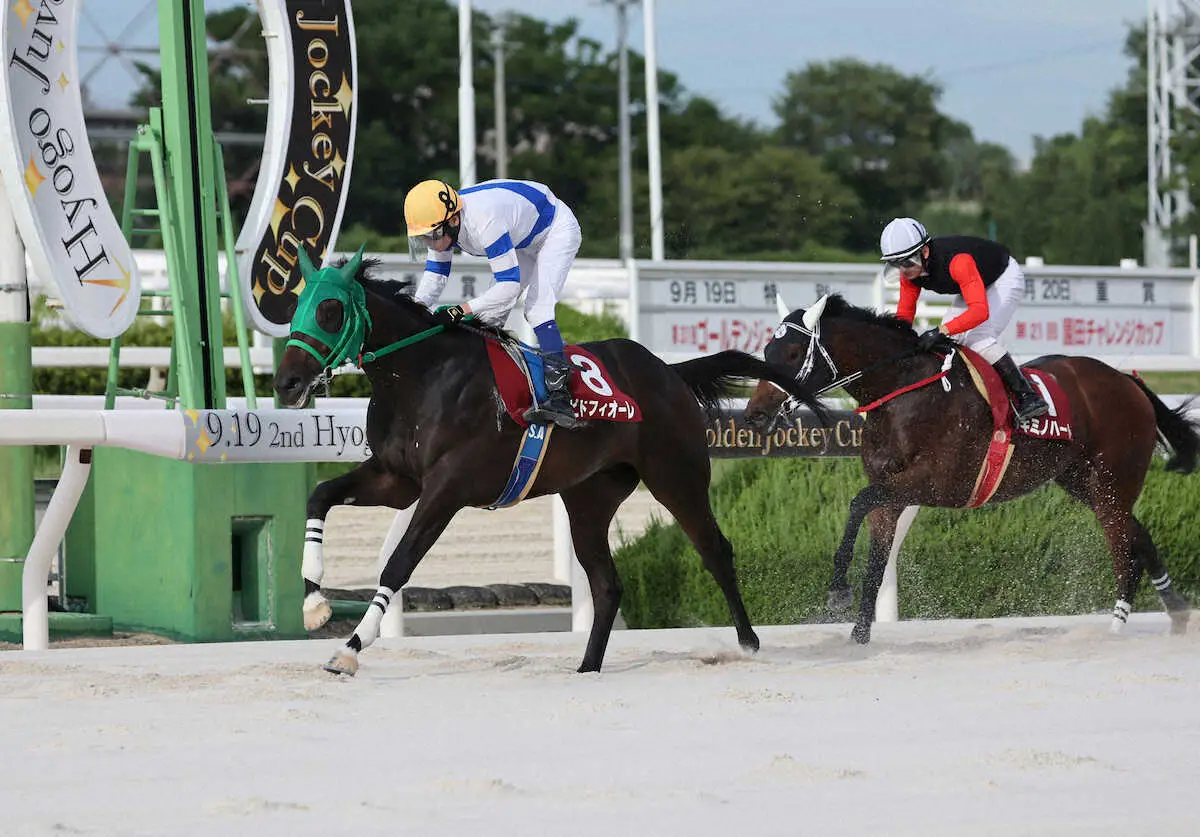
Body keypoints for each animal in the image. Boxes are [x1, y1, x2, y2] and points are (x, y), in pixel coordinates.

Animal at [274, 249, 830, 671]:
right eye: (297, 303)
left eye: (329, 309)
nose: (287, 382)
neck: (423, 376)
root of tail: (669, 371)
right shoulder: (396, 479)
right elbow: (319, 495)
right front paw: (314, 604)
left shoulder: (445, 489)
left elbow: (398, 563)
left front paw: (349, 648)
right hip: (590, 496)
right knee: (607, 584)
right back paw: (587, 667)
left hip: (678, 477)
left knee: (715, 551)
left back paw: (748, 644)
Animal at [744, 290, 1195, 642]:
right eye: (764, 353)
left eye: (791, 354)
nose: (755, 415)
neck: (903, 394)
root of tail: (1126, 379)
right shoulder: (892, 490)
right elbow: (876, 557)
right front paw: (858, 636)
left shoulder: (935, 483)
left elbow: (858, 503)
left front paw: (838, 590)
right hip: (1084, 482)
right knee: (1140, 536)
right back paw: (1176, 612)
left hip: (1111, 481)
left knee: (1124, 549)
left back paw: (1117, 626)